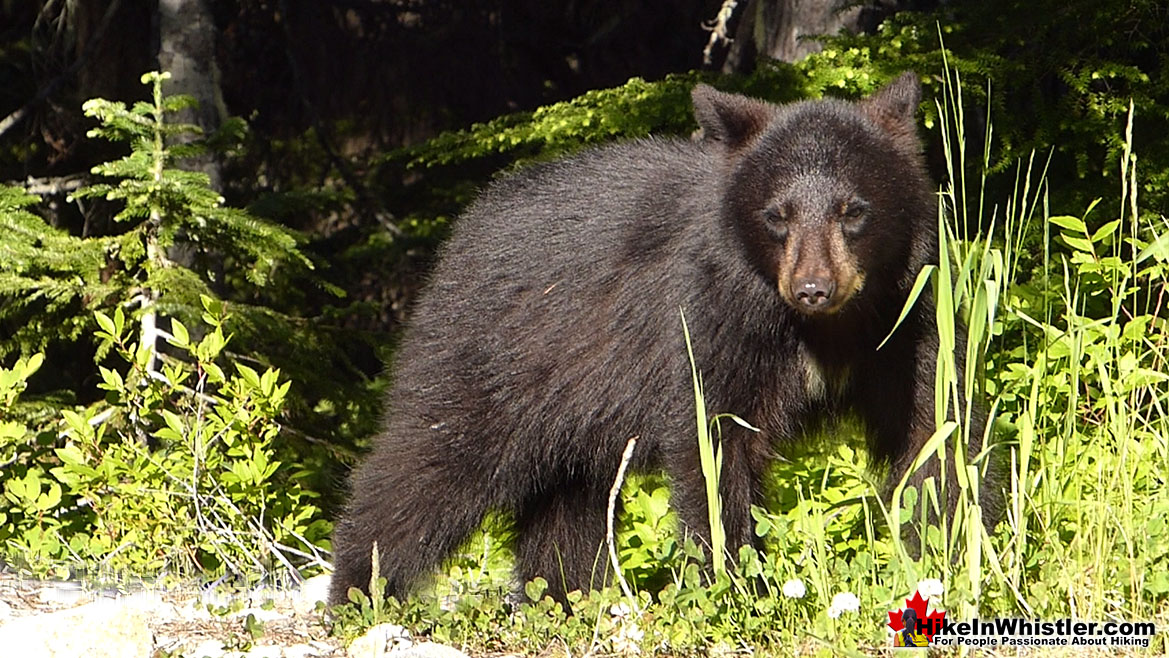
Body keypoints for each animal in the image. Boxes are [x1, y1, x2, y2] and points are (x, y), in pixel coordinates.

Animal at [329, 73, 995, 607]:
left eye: (852, 210)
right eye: (776, 214)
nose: (812, 287)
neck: (826, 328)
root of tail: (465, 227)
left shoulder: (908, 319)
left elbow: (937, 427)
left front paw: (955, 554)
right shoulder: (713, 318)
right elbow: (715, 441)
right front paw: (734, 582)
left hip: (576, 400)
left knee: (569, 499)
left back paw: (564, 595)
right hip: (494, 354)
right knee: (429, 460)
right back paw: (362, 588)